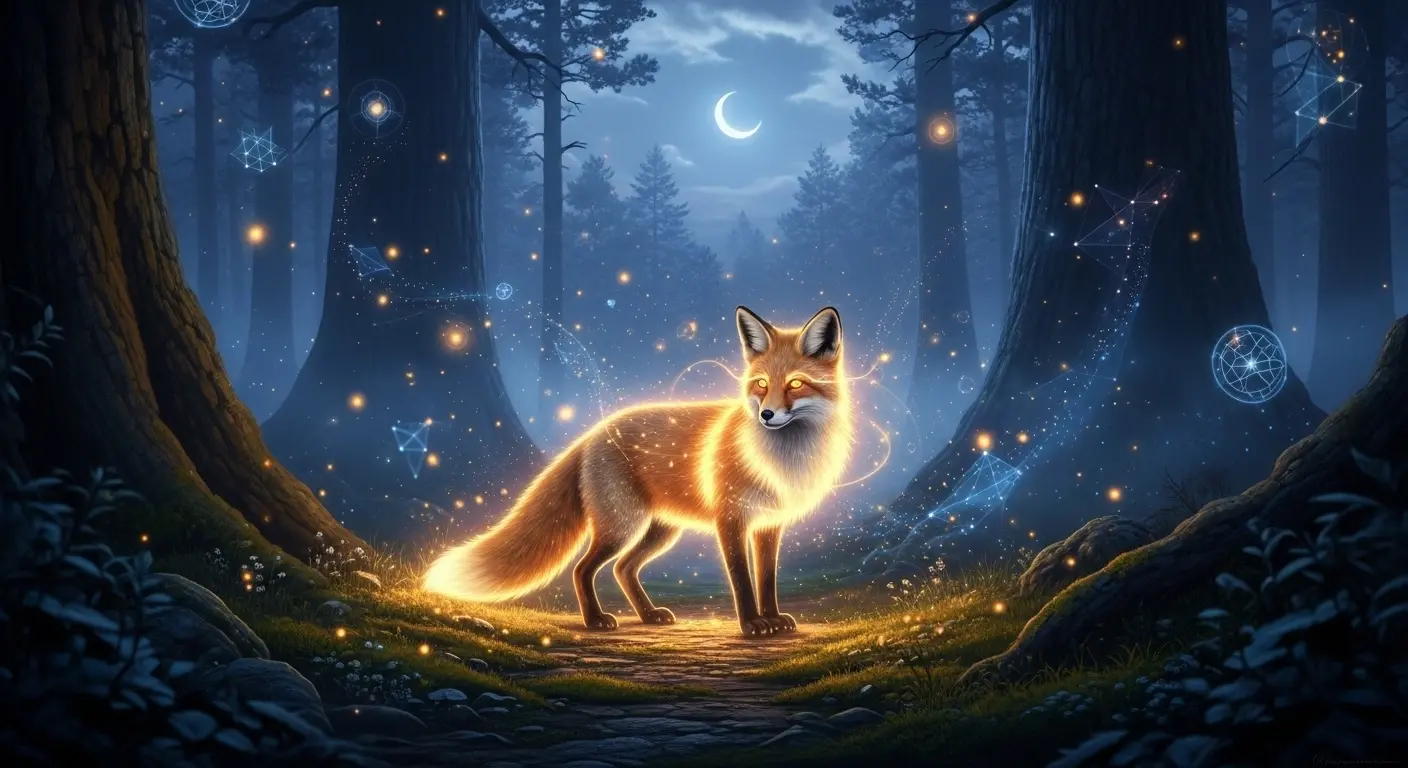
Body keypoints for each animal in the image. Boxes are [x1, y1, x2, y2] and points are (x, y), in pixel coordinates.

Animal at [422, 306, 853, 636]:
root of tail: (592, 433)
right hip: (621, 525)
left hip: (659, 530)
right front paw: (751, 625)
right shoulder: (730, 519)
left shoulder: (768, 525)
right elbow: (742, 581)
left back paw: (648, 615)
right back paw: (595, 620)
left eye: (795, 384)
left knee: (623, 569)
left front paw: (773, 619)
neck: (780, 460)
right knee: (583, 569)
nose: (766, 415)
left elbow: (766, 579)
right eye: (761, 384)